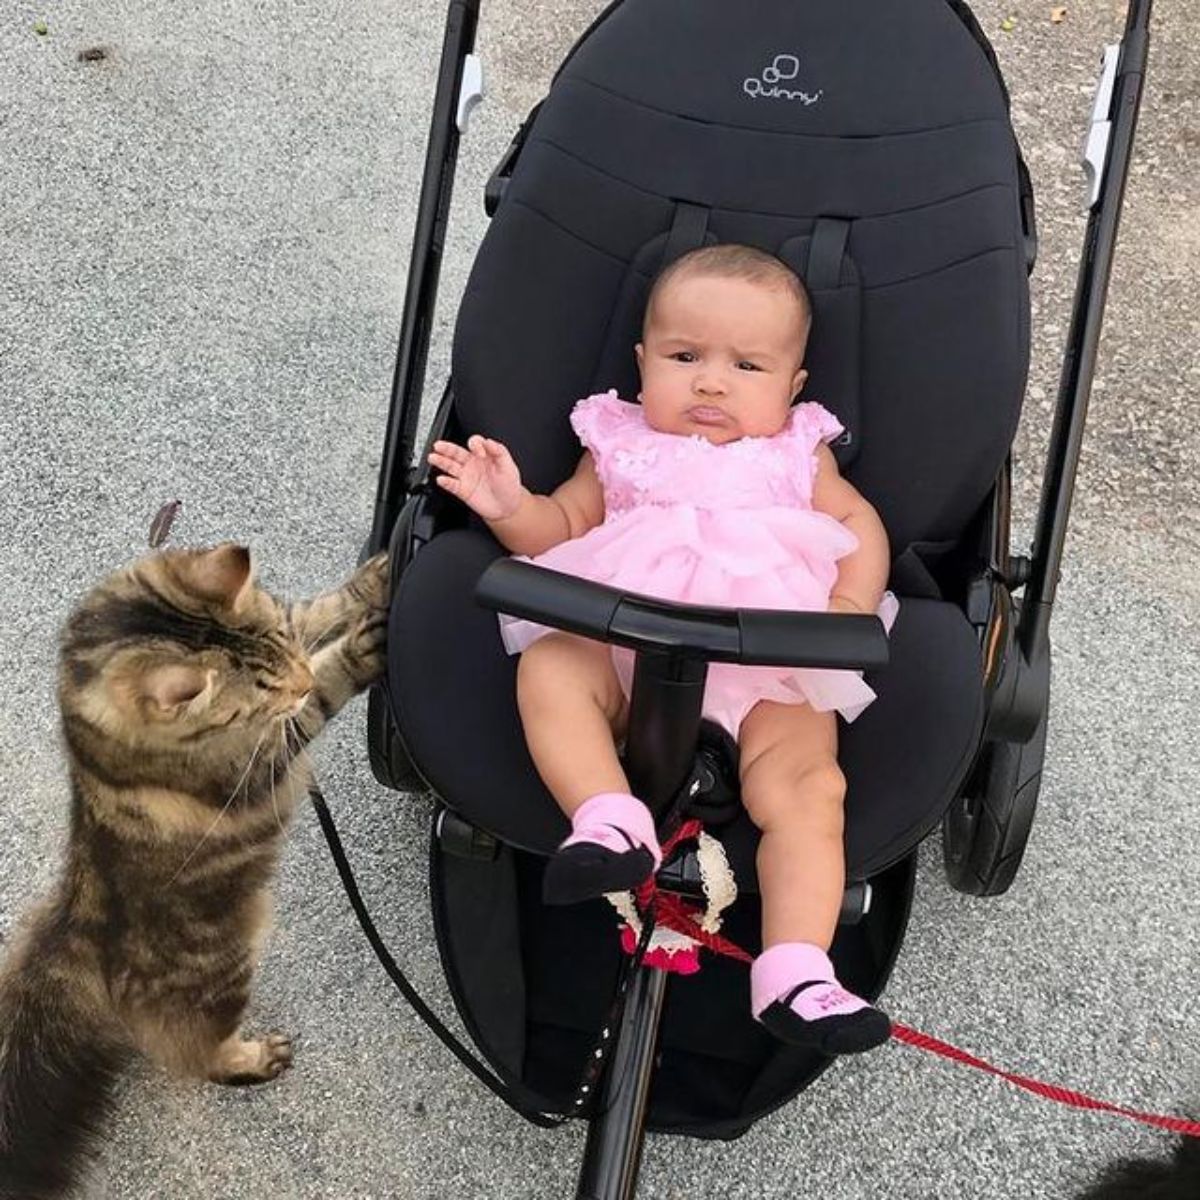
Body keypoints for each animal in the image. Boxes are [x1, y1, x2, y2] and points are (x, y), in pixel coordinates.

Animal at [0, 547, 388, 1200]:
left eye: (285, 649)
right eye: (262, 694)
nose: (301, 680)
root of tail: (82, 922)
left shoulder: (287, 619)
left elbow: (321, 606)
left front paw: (376, 583)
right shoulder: (256, 763)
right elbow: (326, 689)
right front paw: (361, 650)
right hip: (224, 975)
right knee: (200, 1058)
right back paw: (254, 1058)